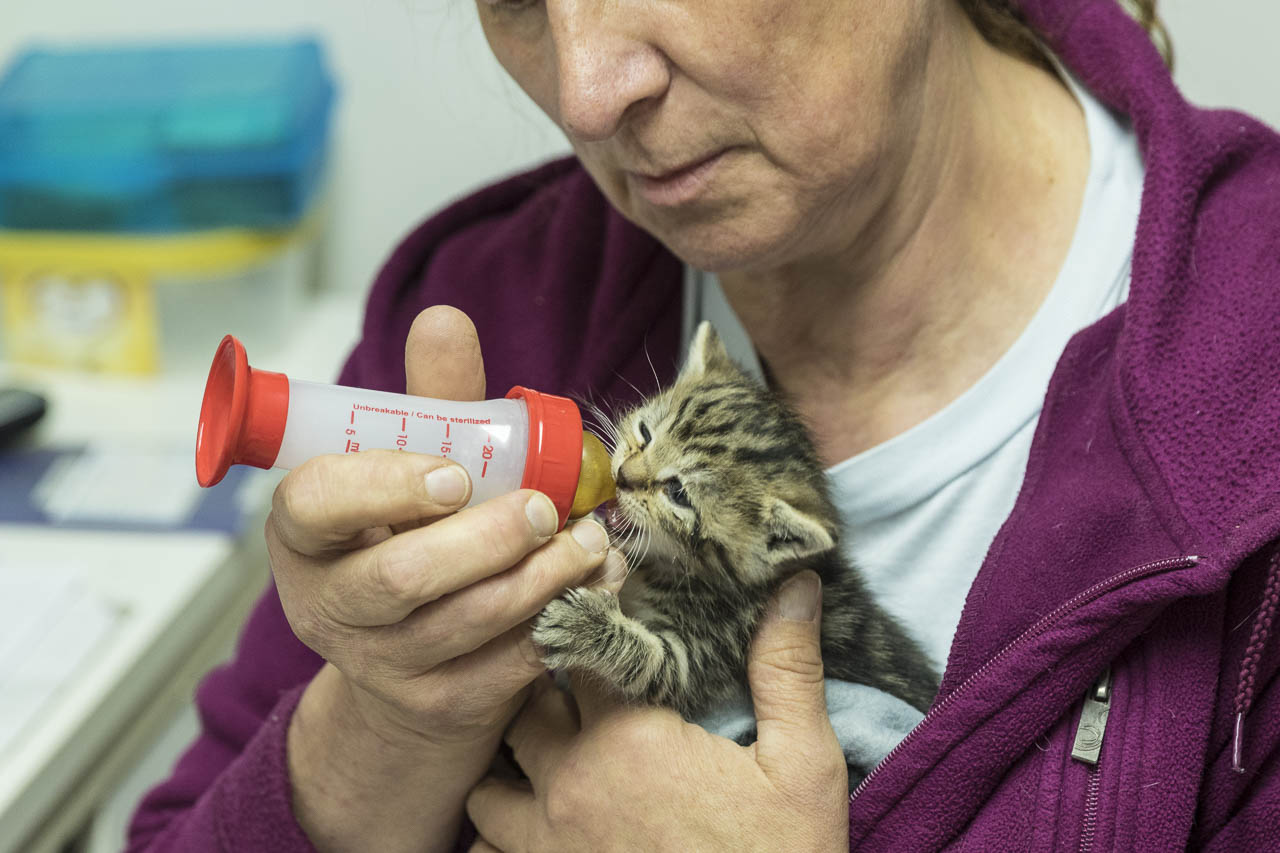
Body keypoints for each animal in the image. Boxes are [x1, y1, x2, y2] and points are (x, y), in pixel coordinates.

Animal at [532, 322, 939, 722]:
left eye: (678, 493)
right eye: (645, 433)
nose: (621, 476)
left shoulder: (709, 649)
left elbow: (653, 664)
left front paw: (584, 626)